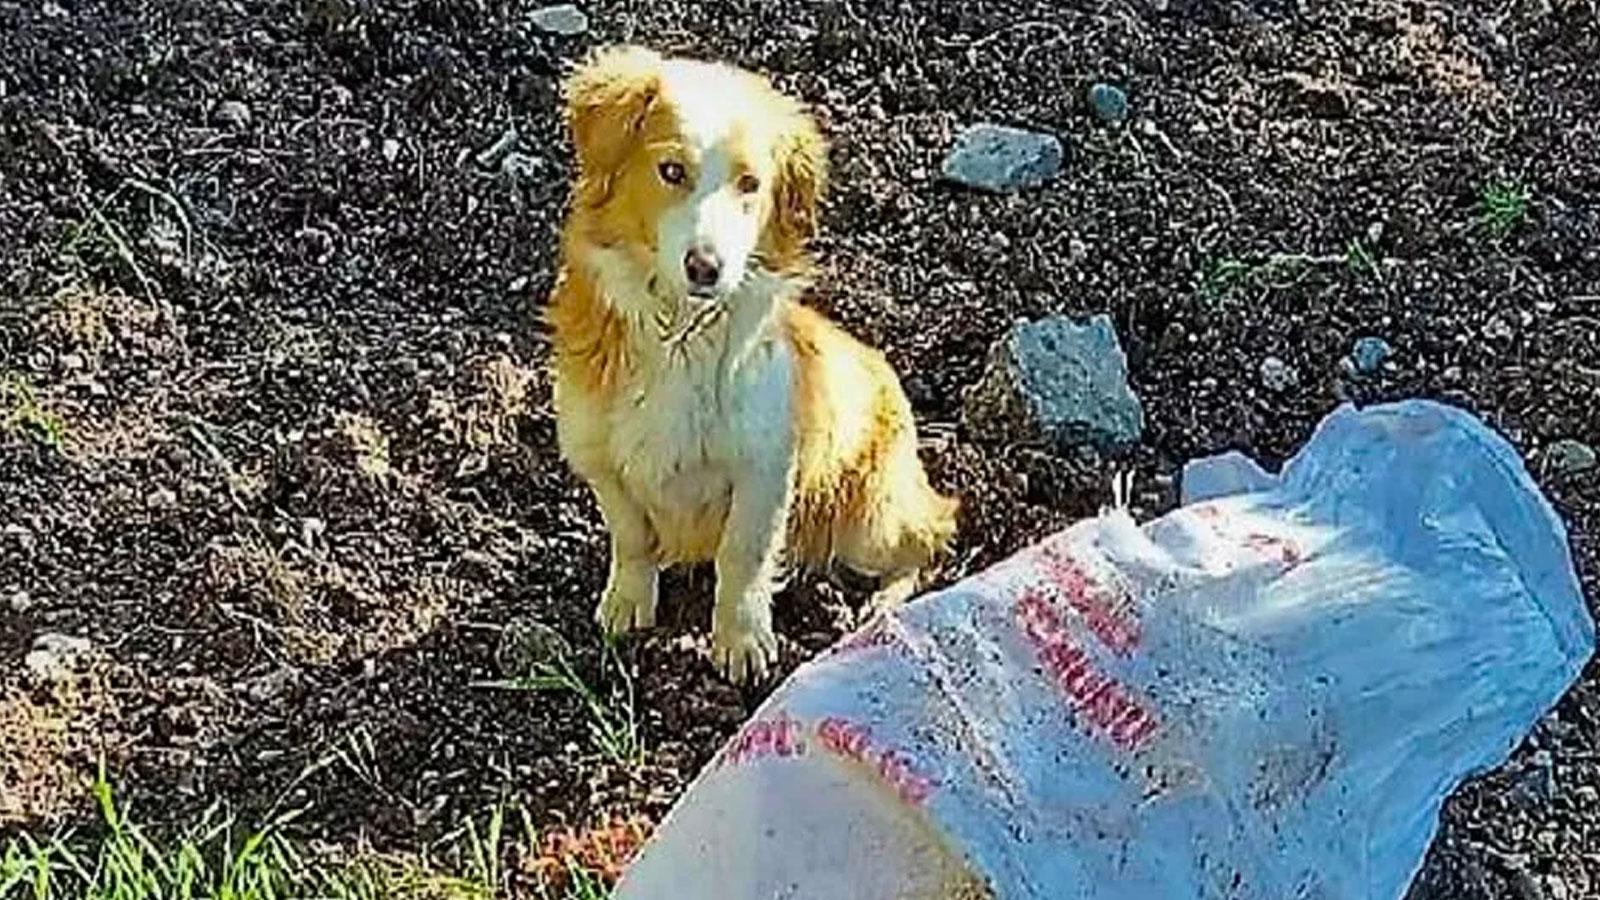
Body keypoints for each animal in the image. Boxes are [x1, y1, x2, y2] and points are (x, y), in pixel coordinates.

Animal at [544, 45, 953, 679]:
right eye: (671, 171)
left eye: (750, 184)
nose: (706, 267)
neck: (680, 333)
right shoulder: (599, 459)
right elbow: (631, 536)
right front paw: (628, 603)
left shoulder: (764, 467)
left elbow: (743, 556)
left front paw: (740, 640)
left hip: (867, 520)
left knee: (933, 535)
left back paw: (882, 607)